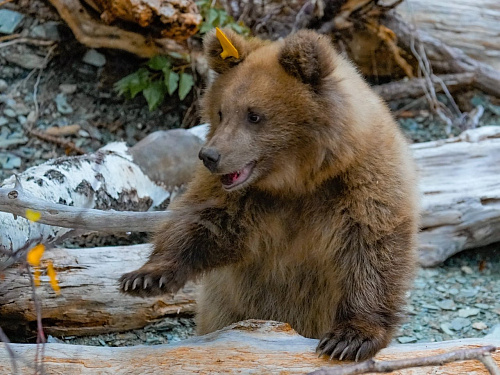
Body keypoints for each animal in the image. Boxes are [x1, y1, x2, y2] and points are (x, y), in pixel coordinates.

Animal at [120, 27, 418, 362]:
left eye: (254, 115)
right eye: (221, 111)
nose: (209, 155)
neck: (297, 180)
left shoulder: (361, 181)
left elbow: (372, 246)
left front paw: (349, 338)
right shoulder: (243, 197)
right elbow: (202, 222)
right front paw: (144, 277)